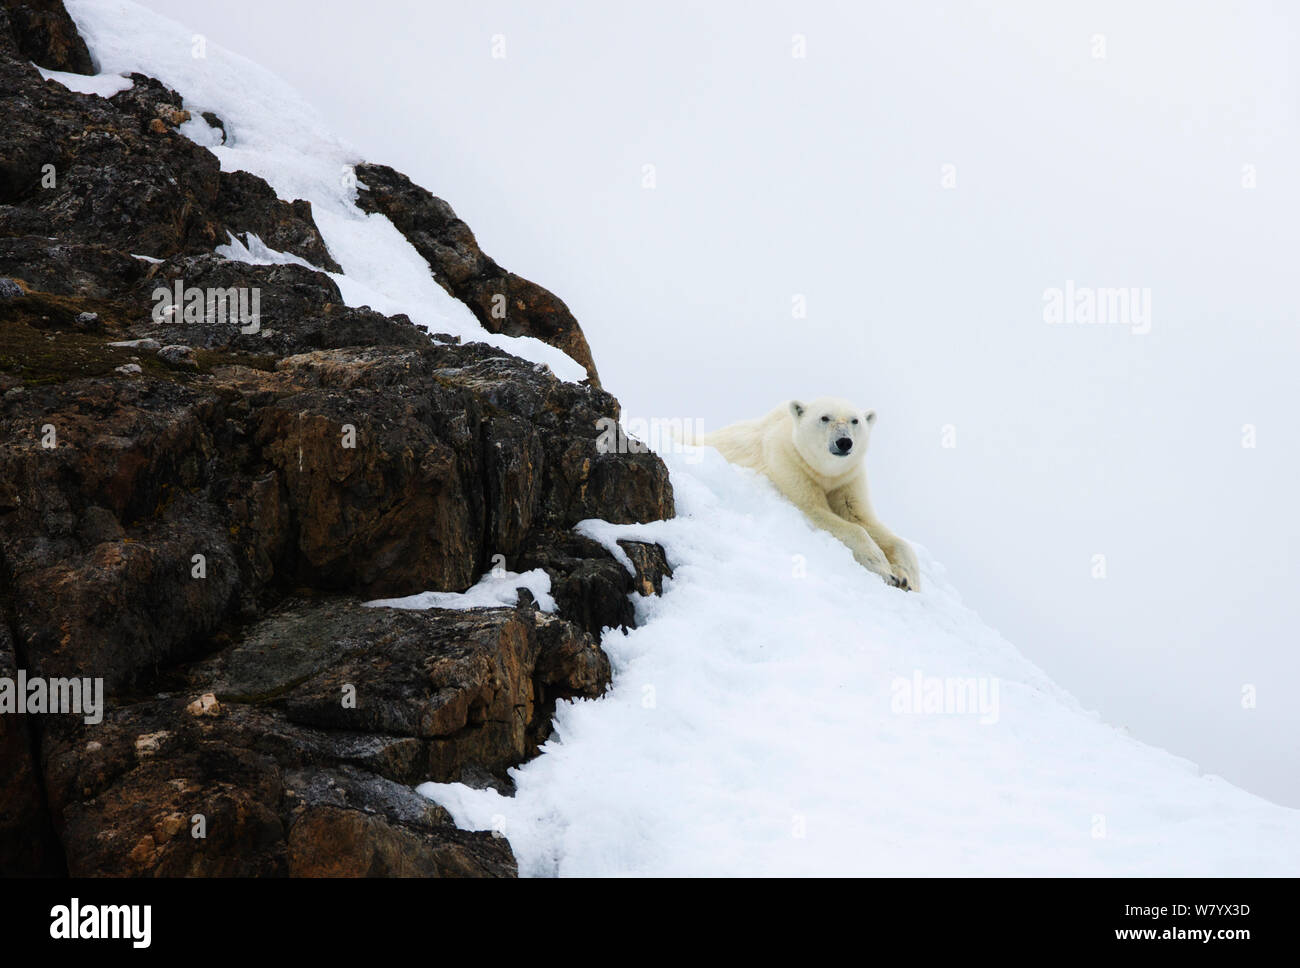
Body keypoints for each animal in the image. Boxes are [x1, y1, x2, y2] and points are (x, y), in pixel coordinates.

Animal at [697, 397, 920, 590]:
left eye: (855, 420)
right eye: (825, 417)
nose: (844, 442)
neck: (825, 473)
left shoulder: (847, 478)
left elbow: (862, 519)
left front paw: (907, 578)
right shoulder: (790, 461)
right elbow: (816, 510)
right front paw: (885, 570)